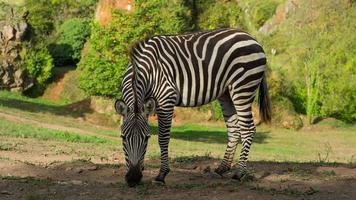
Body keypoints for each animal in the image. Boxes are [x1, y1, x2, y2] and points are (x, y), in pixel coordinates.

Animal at [115, 28, 272, 188]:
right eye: (123, 137)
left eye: (146, 138)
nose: (133, 178)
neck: (146, 71)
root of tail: (252, 38)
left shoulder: (167, 98)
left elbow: (163, 138)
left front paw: (161, 175)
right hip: (226, 93)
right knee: (234, 129)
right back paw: (221, 169)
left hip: (243, 88)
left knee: (248, 129)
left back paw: (239, 174)